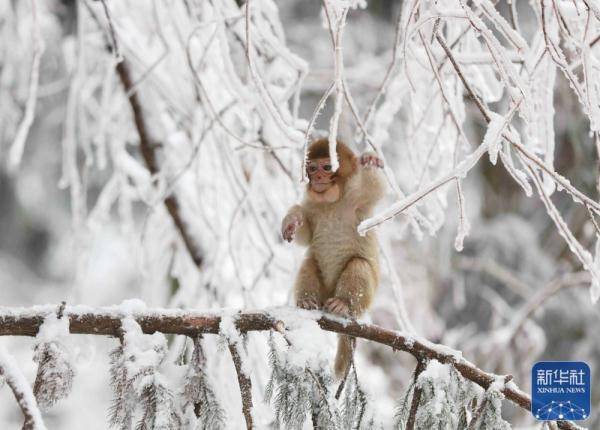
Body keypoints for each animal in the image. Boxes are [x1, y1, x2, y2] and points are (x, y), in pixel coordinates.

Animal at [280, 138, 384, 376]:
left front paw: (371, 160)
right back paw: (307, 301)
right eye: (312, 168)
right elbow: (306, 236)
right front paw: (292, 219)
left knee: (358, 264)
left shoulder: (359, 198)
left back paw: (343, 304)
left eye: (327, 167)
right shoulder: (311, 205)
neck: (331, 202)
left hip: (365, 300)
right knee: (309, 262)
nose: (318, 178)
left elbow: (376, 188)